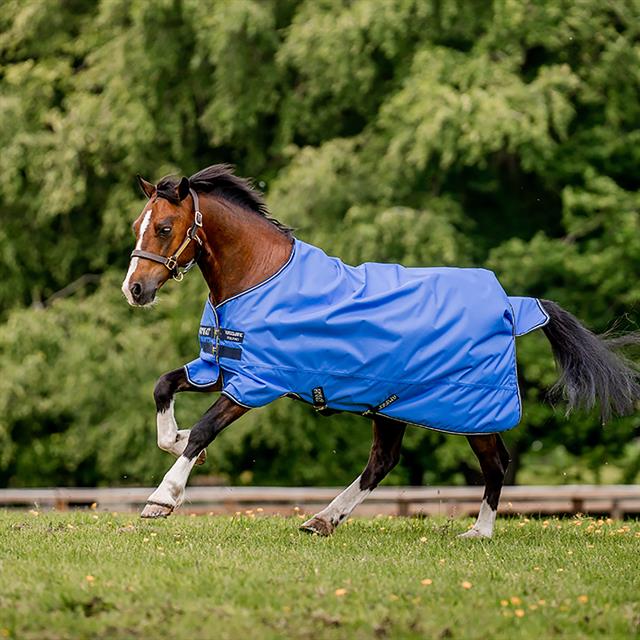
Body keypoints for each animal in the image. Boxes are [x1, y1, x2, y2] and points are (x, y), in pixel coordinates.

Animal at [122, 164, 640, 538]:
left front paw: (161, 499)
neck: (259, 276)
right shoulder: (219, 367)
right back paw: (322, 520)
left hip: (469, 410)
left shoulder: (258, 382)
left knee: (495, 463)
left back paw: (479, 532)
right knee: (382, 462)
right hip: (391, 405)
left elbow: (204, 429)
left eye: (164, 228)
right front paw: (175, 440)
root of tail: (511, 303)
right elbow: (163, 389)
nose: (135, 290)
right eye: (136, 226)